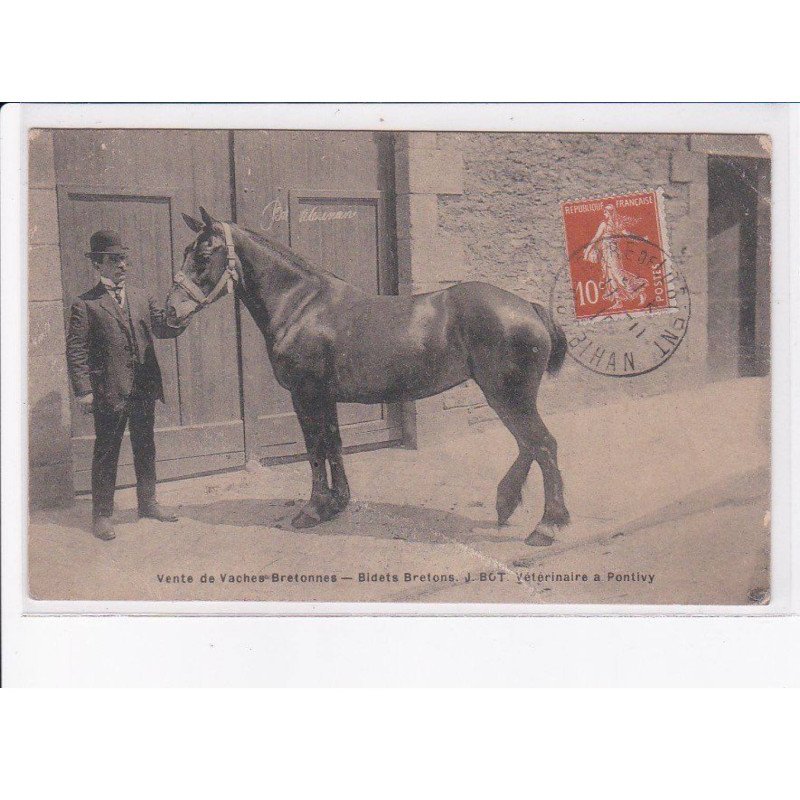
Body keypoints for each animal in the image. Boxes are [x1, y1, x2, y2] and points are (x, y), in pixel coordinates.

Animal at [166, 208, 571, 546]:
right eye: (186, 250)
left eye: (204, 254)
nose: (167, 312)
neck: (302, 306)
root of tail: (529, 307)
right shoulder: (324, 396)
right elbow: (333, 444)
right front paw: (337, 503)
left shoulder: (304, 394)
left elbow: (314, 449)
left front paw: (312, 509)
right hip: (507, 397)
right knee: (529, 445)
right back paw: (508, 503)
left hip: (508, 396)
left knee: (543, 445)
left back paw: (547, 526)